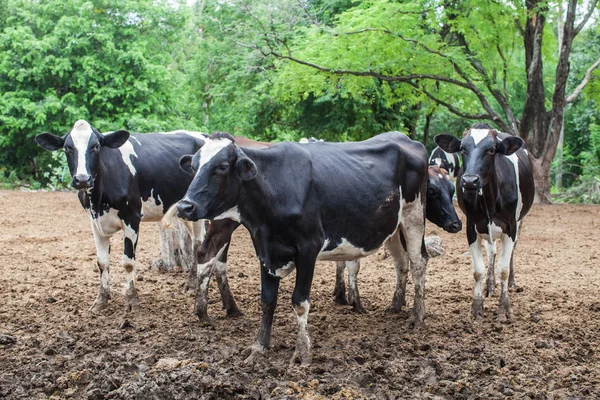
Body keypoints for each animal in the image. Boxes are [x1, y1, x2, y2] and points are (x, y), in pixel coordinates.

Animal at [34, 120, 220, 314]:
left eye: (96, 146)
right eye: (67, 147)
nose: (83, 179)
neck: (98, 199)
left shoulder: (132, 218)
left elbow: (128, 262)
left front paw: (132, 301)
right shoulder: (95, 223)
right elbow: (102, 262)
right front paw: (101, 301)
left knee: (198, 244)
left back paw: (192, 285)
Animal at [176, 132, 428, 366]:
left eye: (222, 167)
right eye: (194, 166)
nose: (184, 206)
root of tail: (404, 138)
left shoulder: (309, 247)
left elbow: (299, 301)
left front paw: (302, 353)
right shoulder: (264, 249)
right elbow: (267, 300)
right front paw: (259, 347)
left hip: (414, 215)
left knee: (418, 262)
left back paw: (417, 318)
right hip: (392, 226)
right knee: (401, 262)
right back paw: (395, 306)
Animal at [432, 122, 536, 322]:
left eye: (492, 150)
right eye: (463, 148)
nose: (470, 181)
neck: (489, 198)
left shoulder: (511, 225)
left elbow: (503, 269)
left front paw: (504, 309)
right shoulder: (471, 226)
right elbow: (478, 270)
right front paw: (476, 309)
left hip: (520, 220)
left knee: (511, 251)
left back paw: (511, 283)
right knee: (492, 250)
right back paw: (490, 285)